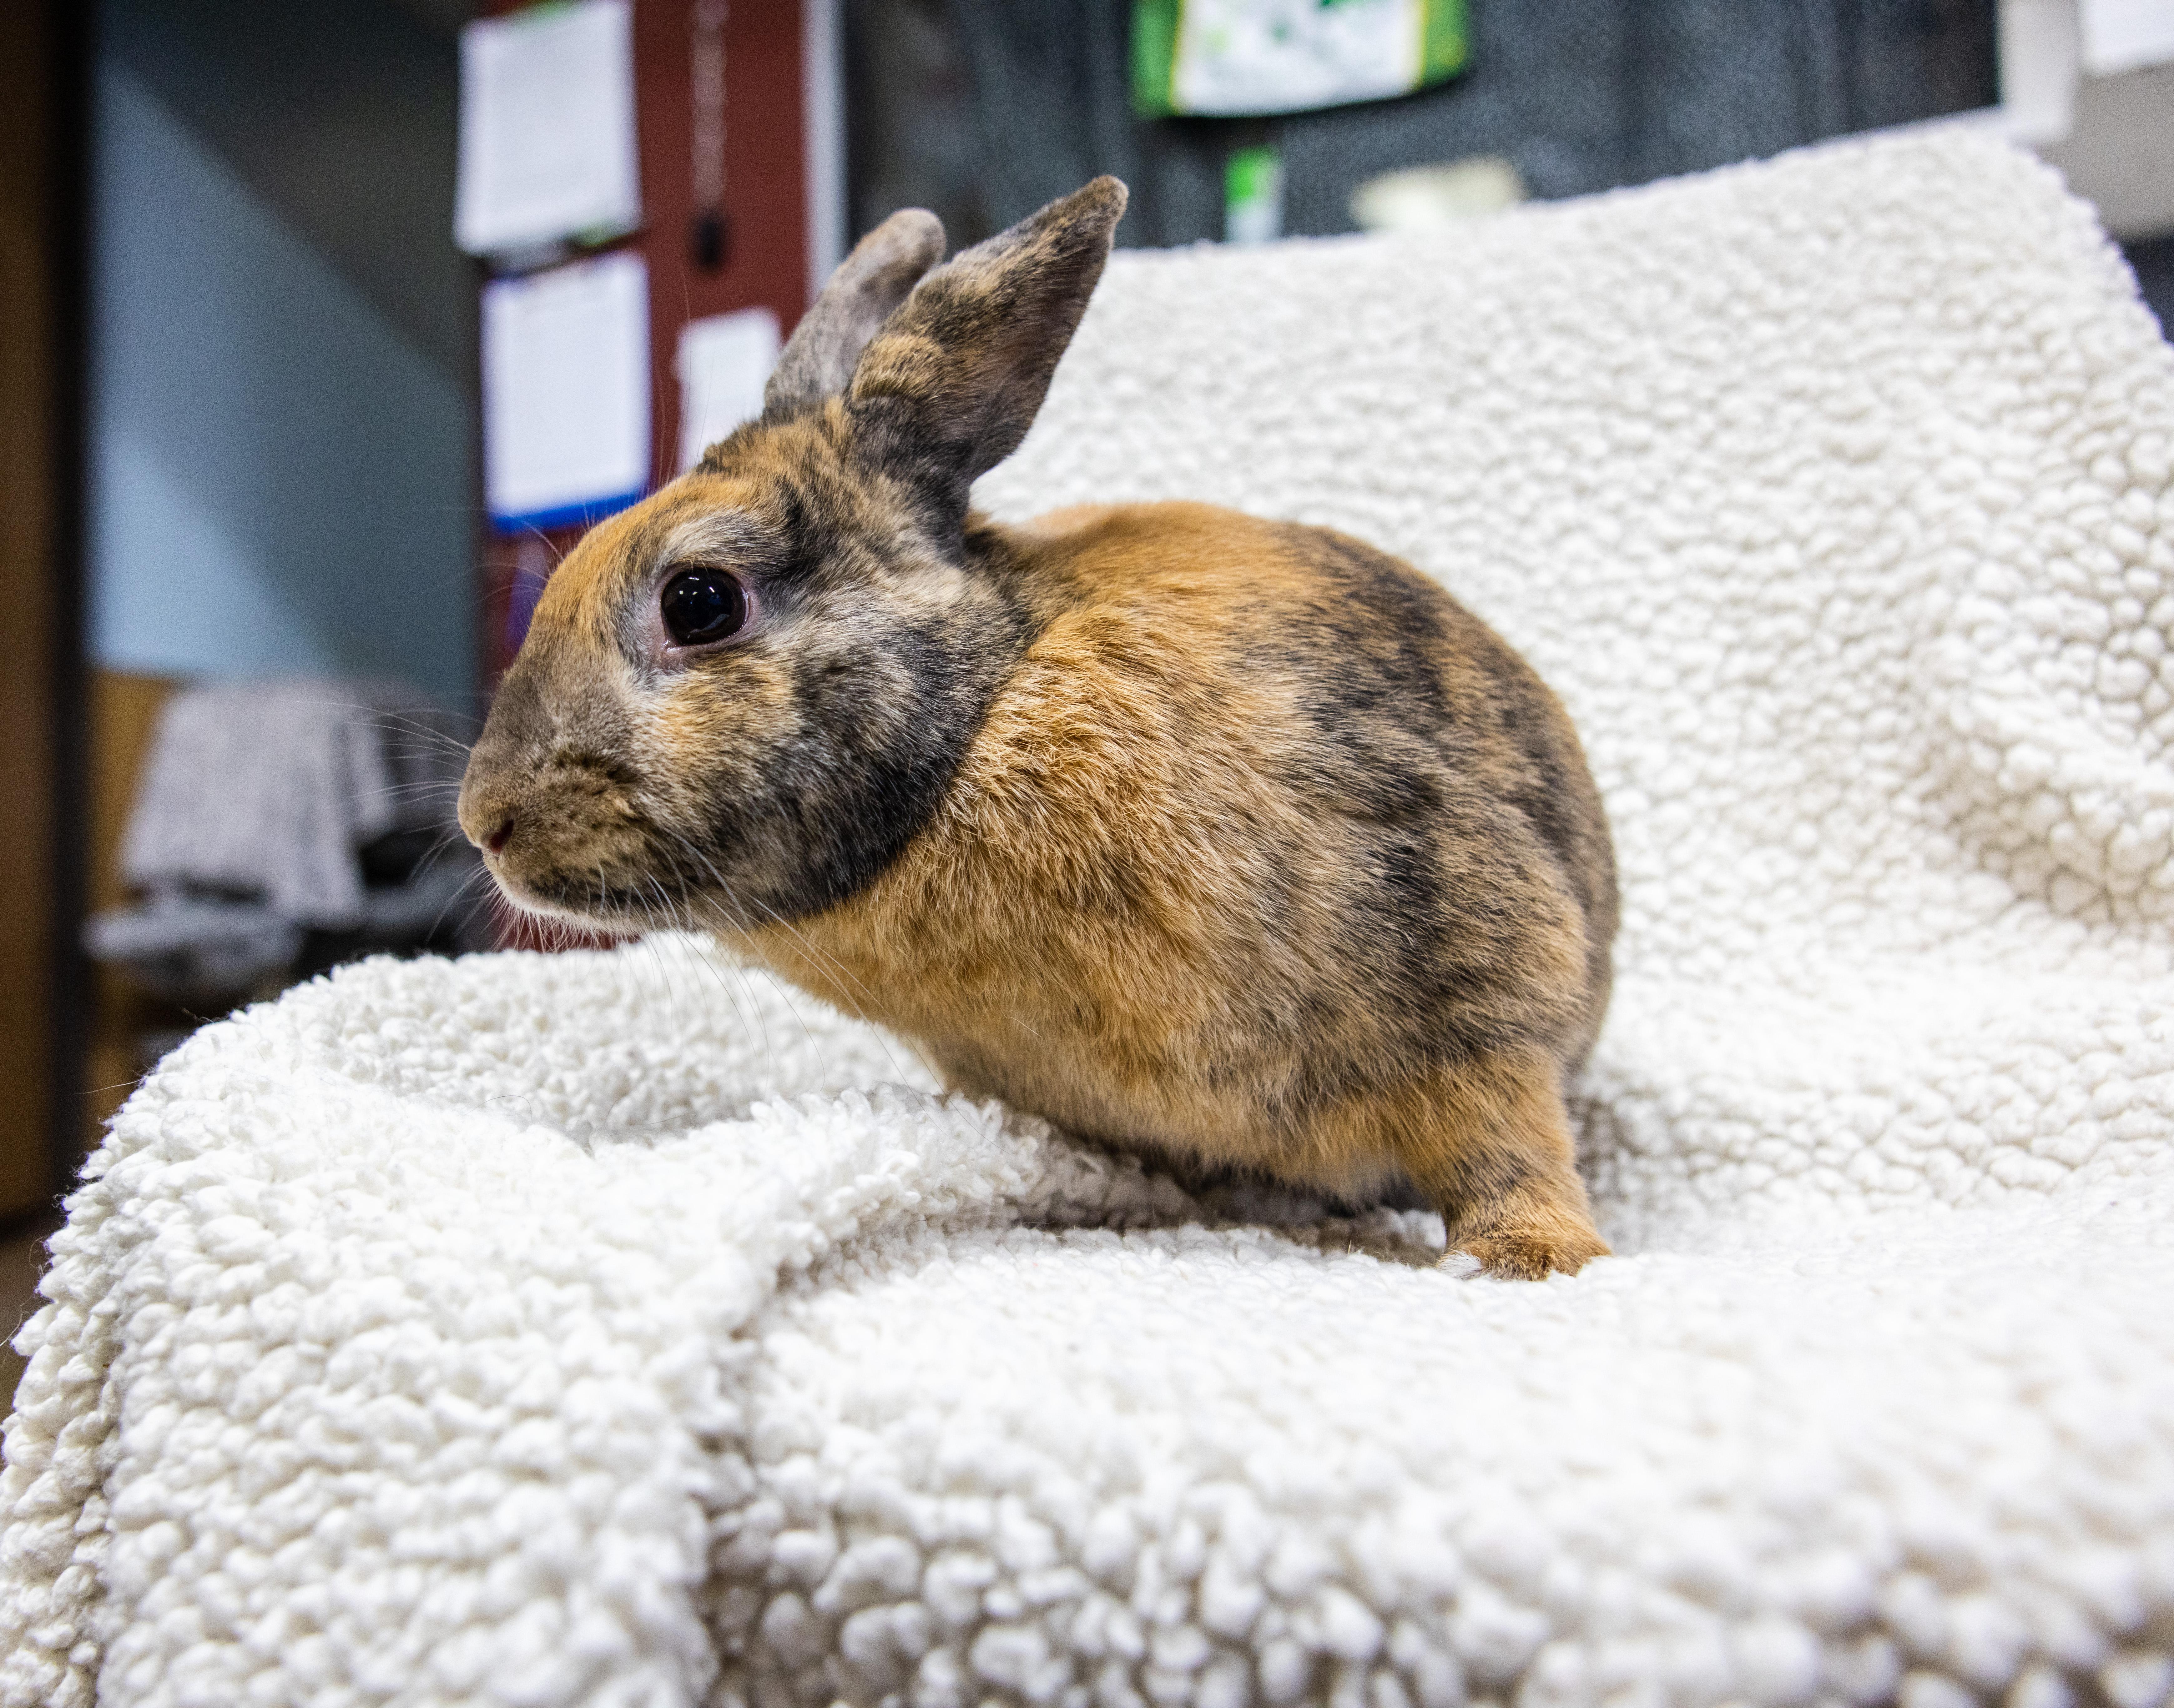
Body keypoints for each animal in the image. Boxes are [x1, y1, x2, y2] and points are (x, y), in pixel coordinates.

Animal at [458, 177, 1618, 1279]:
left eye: (699, 602)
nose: (485, 823)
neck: (984, 709)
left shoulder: (1475, 968)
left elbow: (1503, 1134)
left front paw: (1526, 1260)